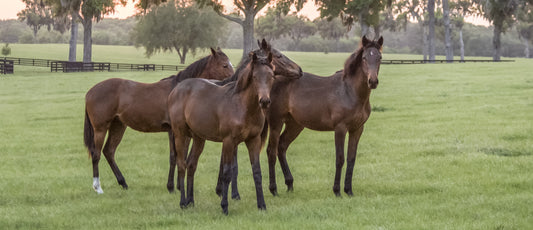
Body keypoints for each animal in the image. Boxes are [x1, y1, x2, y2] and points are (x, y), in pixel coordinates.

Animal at [83, 48, 233, 194]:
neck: (181, 91)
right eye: (224, 65)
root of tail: (90, 92)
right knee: (96, 154)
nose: (233, 80)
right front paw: (171, 187)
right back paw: (98, 187)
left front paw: (179, 186)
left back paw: (123, 183)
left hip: (118, 126)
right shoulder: (173, 131)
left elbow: (182, 157)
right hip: (100, 129)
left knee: (109, 151)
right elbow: (174, 156)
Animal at [166, 50, 274, 214]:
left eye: (271, 76)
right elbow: (227, 173)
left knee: (191, 165)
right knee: (182, 165)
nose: (265, 101)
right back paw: (183, 202)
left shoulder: (253, 140)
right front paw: (224, 206)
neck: (243, 106)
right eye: (255, 77)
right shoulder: (229, 141)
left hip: (199, 138)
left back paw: (191, 201)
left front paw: (262, 205)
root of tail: (176, 89)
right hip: (180, 135)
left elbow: (257, 172)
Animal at [266, 35, 382, 196]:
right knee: (271, 150)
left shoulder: (357, 129)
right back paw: (273, 189)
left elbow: (351, 158)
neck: (349, 92)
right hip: (276, 122)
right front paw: (337, 191)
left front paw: (349, 191)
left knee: (281, 147)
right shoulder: (340, 129)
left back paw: (289, 184)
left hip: (295, 125)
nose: (373, 81)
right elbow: (340, 159)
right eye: (364, 58)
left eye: (380, 57)